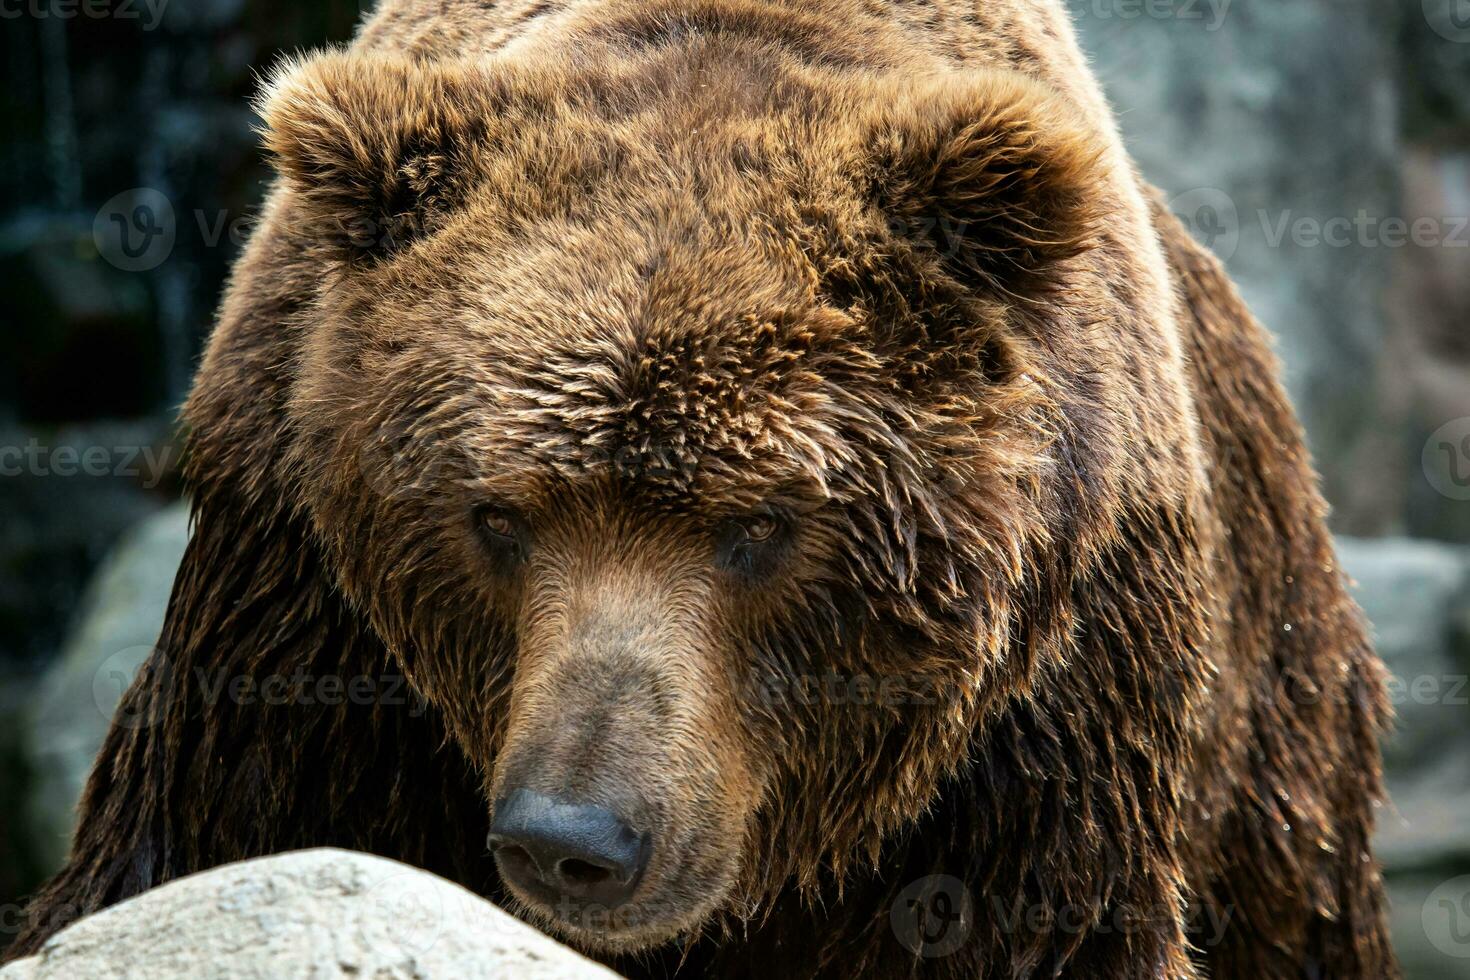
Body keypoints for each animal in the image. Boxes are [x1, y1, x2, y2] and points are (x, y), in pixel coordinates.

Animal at [11, 1, 1399, 980]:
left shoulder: (1040, 714)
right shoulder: (304, 619)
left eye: (760, 526)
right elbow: (205, 847)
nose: (574, 836)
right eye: (496, 514)